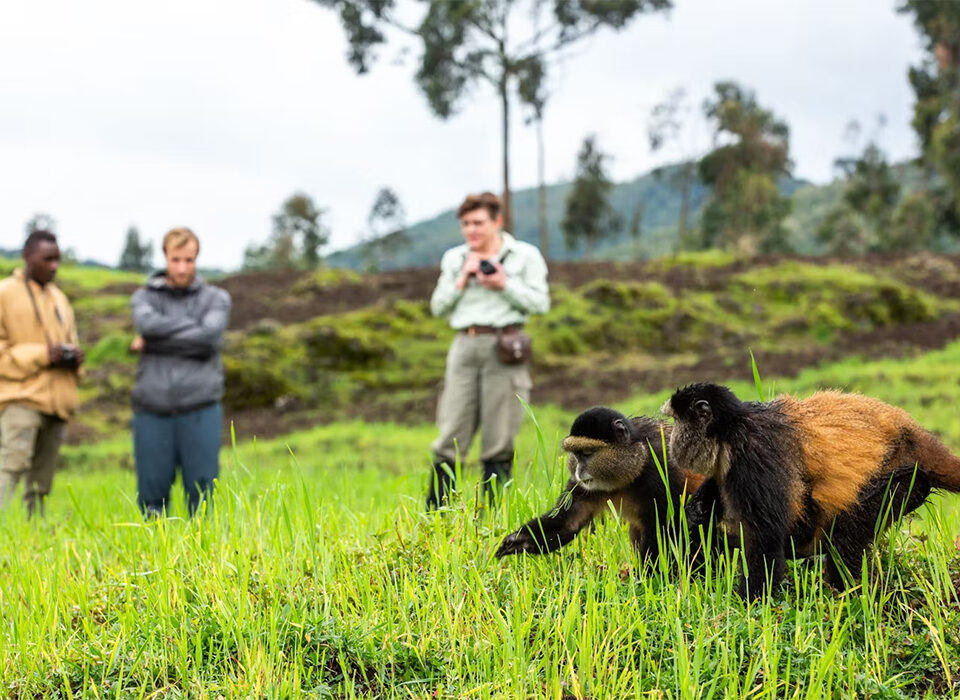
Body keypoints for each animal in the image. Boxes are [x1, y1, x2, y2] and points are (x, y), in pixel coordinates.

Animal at [495, 406, 705, 564]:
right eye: (576, 455)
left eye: (587, 453)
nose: (579, 471)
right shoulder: (581, 487)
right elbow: (568, 522)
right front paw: (517, 541)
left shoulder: (662, 469)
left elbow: (666, 527)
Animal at [663, 383, 960, 599]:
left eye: (678, 423)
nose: (673, 440)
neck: (731, 427)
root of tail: (914, 434)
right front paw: (697, 510)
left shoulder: (751, 453)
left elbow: (767, 537)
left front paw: (749, 605)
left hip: (906, 479)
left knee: (844, 535)